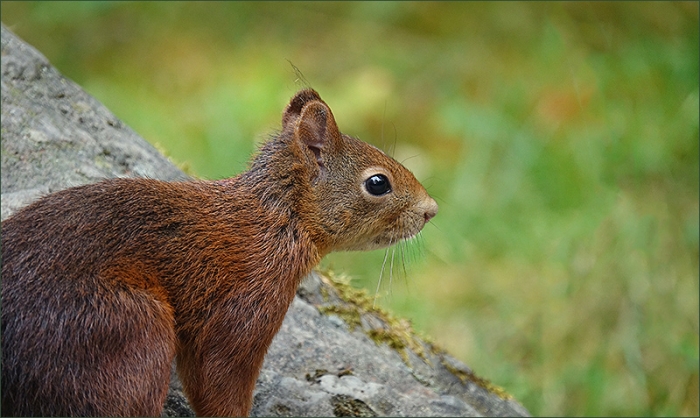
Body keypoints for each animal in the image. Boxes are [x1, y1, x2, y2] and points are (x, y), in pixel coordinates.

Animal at [1, 89, 438, 417]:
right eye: (378, 183)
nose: (431, 210)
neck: (275, 221)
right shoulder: (242, 309)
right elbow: (218, 380)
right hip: (128, 335)